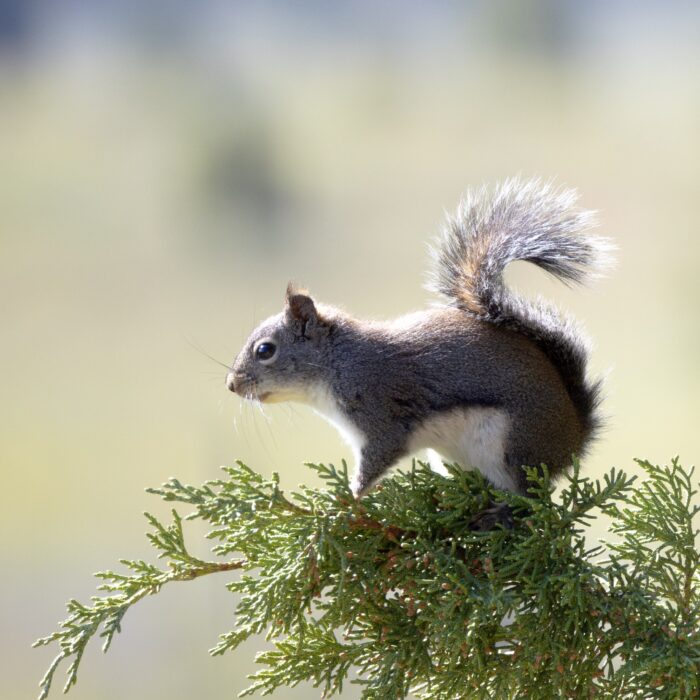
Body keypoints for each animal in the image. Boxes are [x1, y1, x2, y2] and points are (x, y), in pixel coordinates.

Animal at [226, 179, 612, 528]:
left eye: (265, 350)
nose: (232, 385)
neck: (338, 363)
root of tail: (576, 435)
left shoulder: (381, 416)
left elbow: (373, 465)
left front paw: (345, 501)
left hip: (515, 446)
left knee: (529, 500)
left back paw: (500, 516)